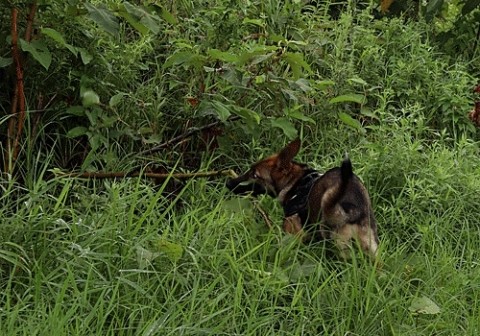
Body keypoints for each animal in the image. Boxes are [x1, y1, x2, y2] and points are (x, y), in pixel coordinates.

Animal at [225, 138, 378, 258]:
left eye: (255, 175)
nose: (229, 183)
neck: (295, 182)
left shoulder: (294, 234)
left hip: (338, 243)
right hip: (370, 245)